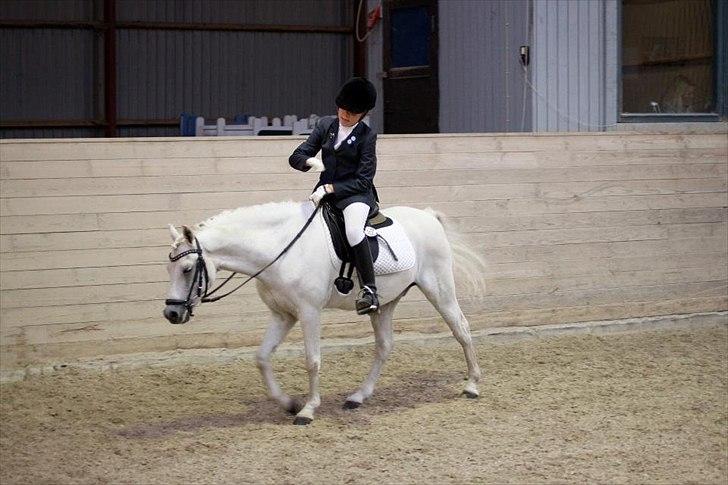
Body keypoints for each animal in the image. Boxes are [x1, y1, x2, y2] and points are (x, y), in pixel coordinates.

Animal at [163, 201, 487, 425]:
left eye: (187, 269)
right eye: (170, 268)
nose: (171, 314)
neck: (280, 249)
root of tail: (428, 216)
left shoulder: (308, 312)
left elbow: (312, 360)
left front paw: (307, 410)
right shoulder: (283, 315)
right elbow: (262, 357)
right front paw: (288, 403)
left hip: (439, 289)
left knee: (461, 328)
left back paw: (471, 386)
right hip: (384, 303)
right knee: (384, 346)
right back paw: (358, 396)